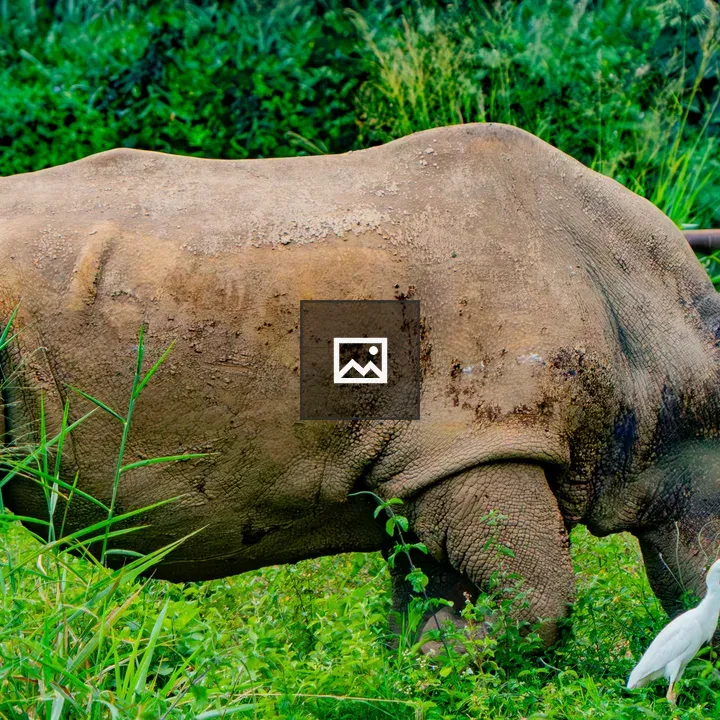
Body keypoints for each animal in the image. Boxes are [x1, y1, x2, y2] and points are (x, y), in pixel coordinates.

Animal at [1, 123, 719, 648]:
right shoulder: (479, 440)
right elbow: (540, 600)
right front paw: (445, 653)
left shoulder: (430, 464)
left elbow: (432, 592)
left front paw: (425, 663)